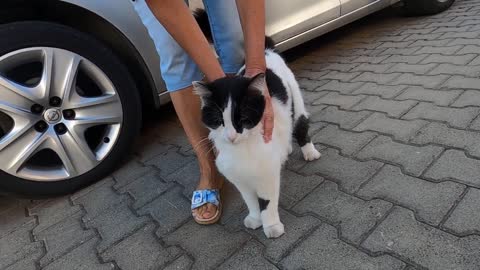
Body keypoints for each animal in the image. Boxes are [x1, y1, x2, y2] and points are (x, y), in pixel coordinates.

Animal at [193, 43, 320, 238]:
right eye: (218, 120)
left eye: (243, 119)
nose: (231, 136)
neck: (243, 150)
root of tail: (266, 51)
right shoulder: (240, 180)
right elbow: (250, 201)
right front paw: (254, 218)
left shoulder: (266, 175)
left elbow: (266, 203)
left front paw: (271, 226)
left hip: (296, 102)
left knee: (300, 125)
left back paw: (309, 151)